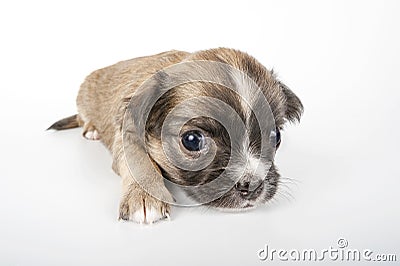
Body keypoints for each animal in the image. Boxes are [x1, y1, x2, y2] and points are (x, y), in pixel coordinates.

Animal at [47, 48, 304, 224]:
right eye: (192, 141)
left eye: (275, 137)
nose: (252, 185)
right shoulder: (127, 136)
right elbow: (139, 163)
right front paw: (144, 195)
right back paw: (91, 129)